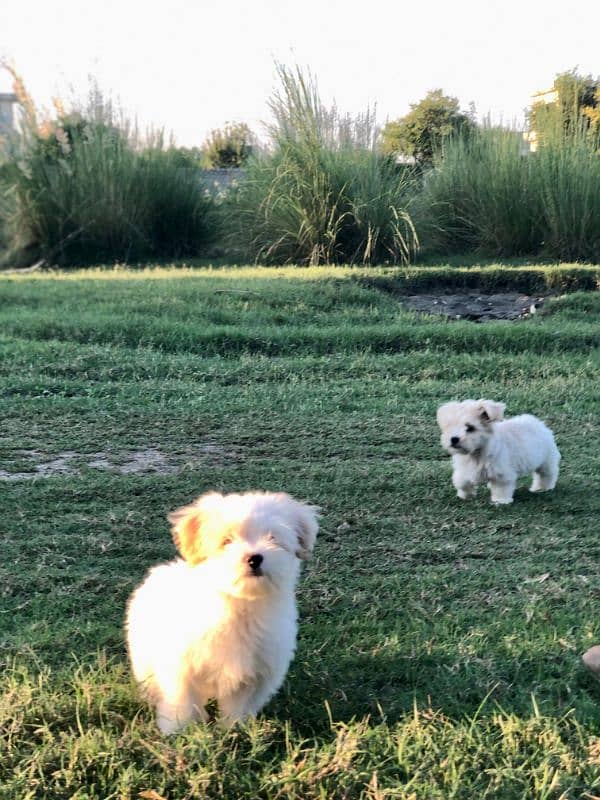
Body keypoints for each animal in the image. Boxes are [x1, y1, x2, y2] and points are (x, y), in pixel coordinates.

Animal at [126, 488, 318, 732]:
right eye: (227, 541)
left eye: (273, 538)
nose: (254, 558)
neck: (241, 604)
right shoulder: (181, 668)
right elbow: (182, 701)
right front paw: (178, 731)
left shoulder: (252, 674)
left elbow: (238, 706)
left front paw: (233, 730)